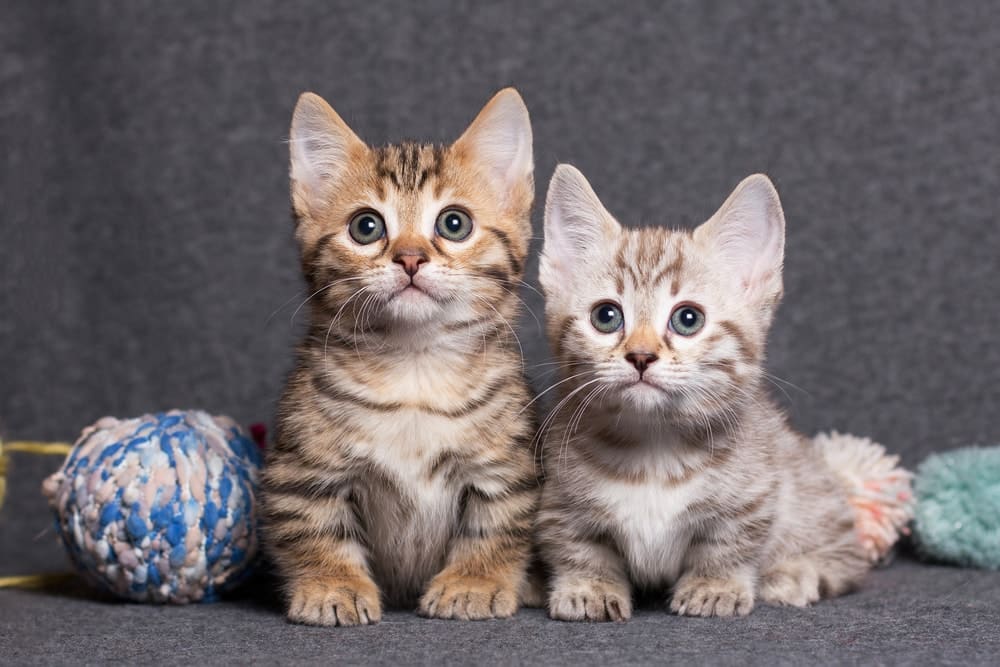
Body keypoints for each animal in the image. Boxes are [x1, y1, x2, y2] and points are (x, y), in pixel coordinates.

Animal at [258, 88, 540, 628]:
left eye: (454, 223)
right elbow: (313, 528)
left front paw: (473, 582)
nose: (410, 257)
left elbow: (494, 526)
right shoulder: (303, 466)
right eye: (366, 227)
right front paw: (332, 585)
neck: (413, 367)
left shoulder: (503, 466)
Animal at [536, 166, 872, 620]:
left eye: (688, 319)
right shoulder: (560, 499)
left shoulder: (755, 493)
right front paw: (588, 587)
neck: (654, 449)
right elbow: (578, 545)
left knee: (846, 559)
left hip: (814, 497)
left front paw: (715, 585)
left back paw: (792, 574)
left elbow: (729, 542)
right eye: (606, 316)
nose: (641, 356)